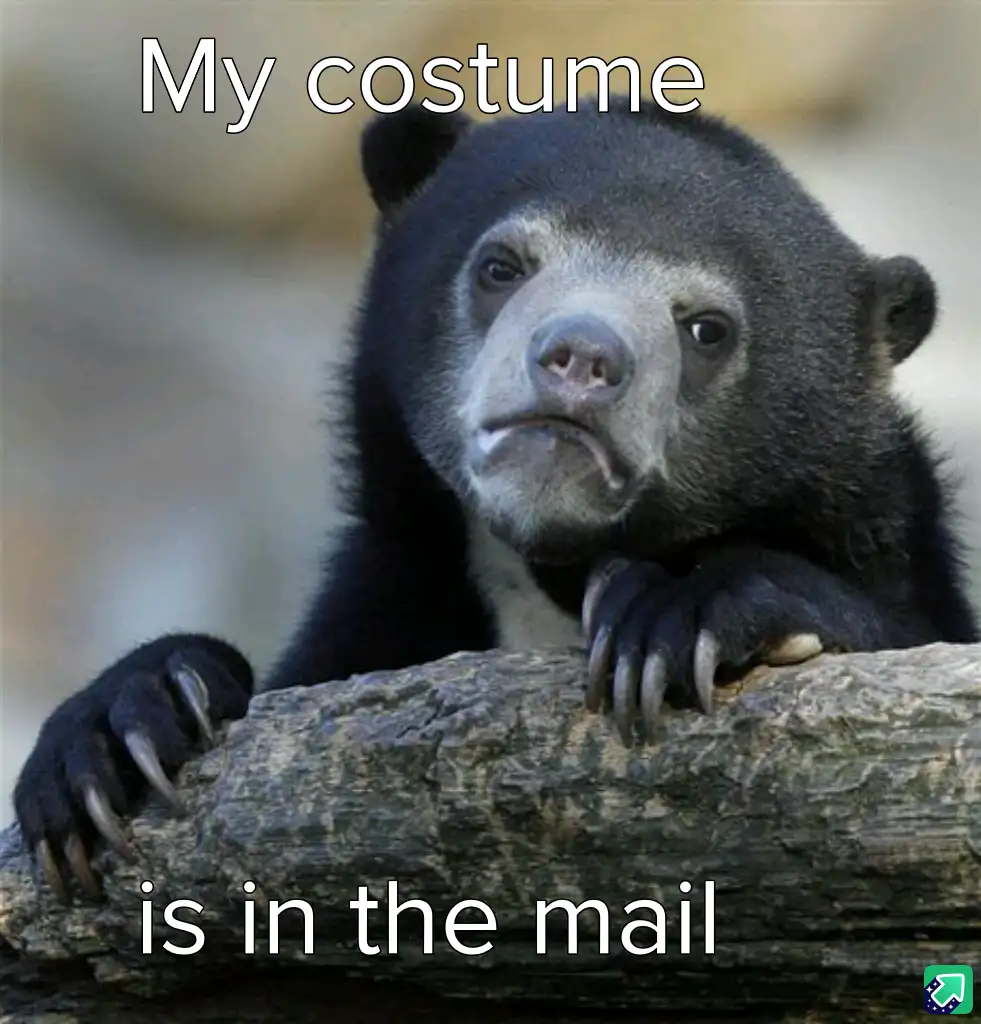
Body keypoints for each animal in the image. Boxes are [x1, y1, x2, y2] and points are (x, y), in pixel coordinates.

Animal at [12, 98, 979, 902]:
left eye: (706, 328)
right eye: (501, 265)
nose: (581, 358)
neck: (547, 574)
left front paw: (672, 614)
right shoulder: (396, 592)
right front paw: (117, 733)